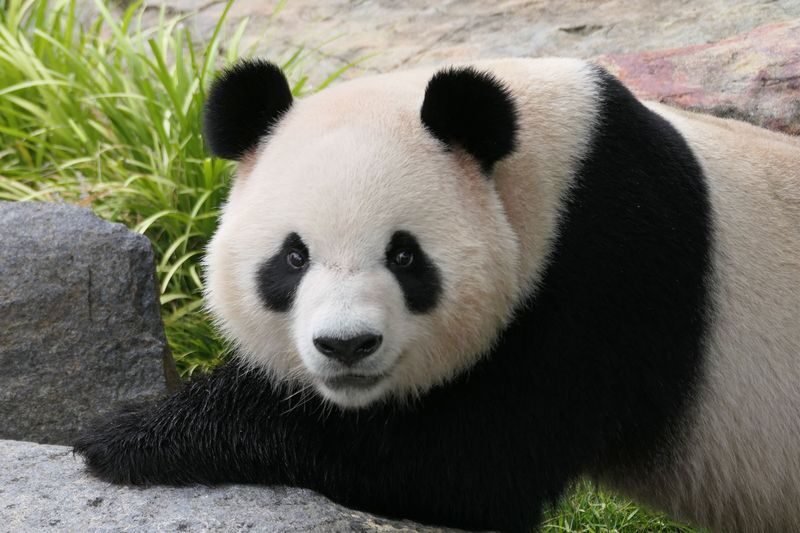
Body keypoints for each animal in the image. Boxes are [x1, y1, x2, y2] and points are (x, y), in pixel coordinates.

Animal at [75, 57, 800, 532]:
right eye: (292, 256)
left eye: (404, 255)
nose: (346, 345)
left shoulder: (605, 272)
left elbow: (464, 462)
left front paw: (126, 434)